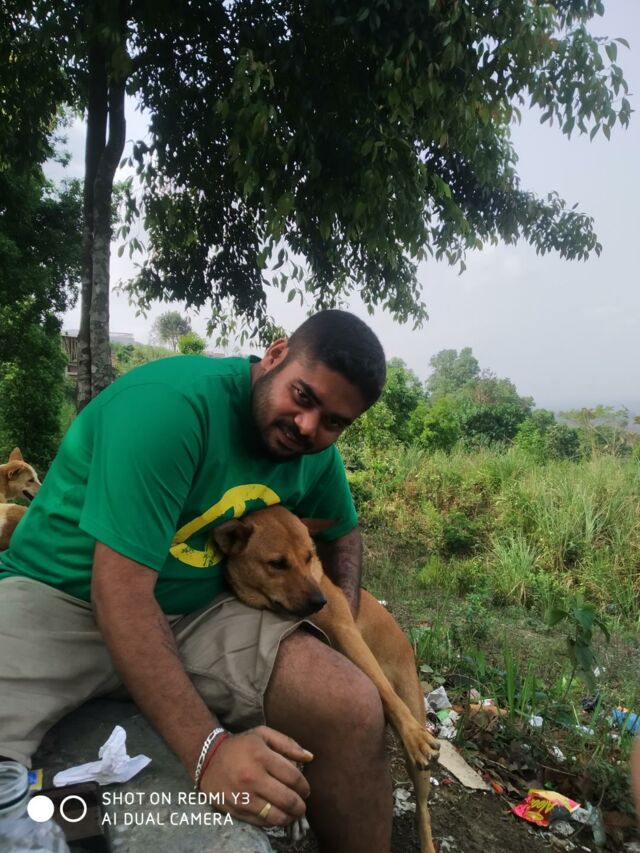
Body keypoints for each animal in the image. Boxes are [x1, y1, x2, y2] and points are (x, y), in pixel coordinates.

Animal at [211, 505, 438, 853]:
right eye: (277, 563)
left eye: (310, 556)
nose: (320, 601)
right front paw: (295, 813)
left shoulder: (347, 632)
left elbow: (383, 689)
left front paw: (413, 734)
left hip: (416, 744)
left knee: (423, 809)